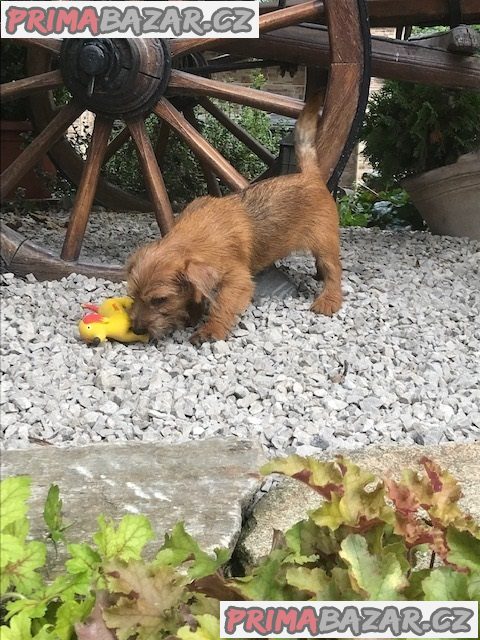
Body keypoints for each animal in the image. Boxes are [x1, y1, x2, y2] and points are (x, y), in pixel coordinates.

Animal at [127, 92, 344, 342]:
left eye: (160, 300)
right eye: (133, 294)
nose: (137, 329)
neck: (197, 235)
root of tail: (310, 176)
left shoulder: (237, 279)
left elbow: (223, 304)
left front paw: (211, 329)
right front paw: (193, 314)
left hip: (324, 242)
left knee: (334, 270)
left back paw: (329, 299)